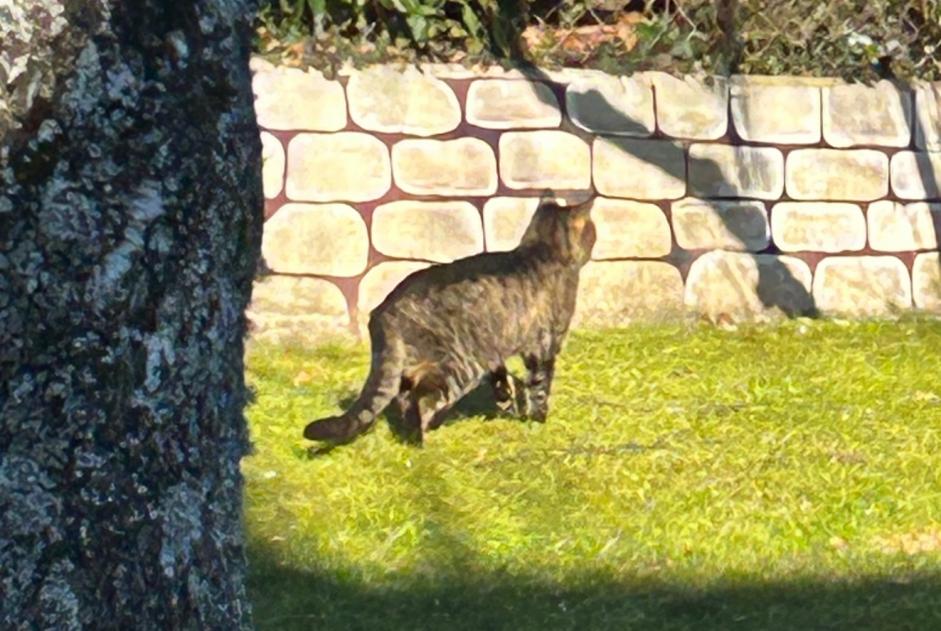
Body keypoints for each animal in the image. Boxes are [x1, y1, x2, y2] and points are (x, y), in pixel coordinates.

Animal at [302, 195, 596, 446]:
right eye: (592, 231)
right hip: (459, 367)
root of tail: (383, 312)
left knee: (405, 396)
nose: (596, 237)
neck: (541, 249)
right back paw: (423, 439)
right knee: (421, 399)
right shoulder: (544, 346)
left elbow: (502, 376)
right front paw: (539, 420)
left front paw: (506, 396)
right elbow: (540, 386)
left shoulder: (498, 349)